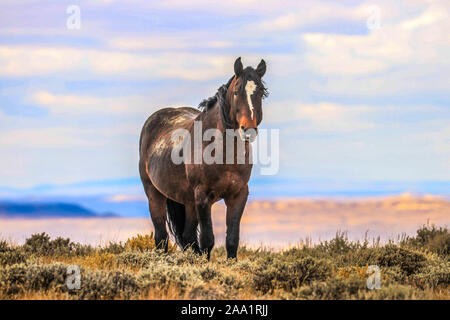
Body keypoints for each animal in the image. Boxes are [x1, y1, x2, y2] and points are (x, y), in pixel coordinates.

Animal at [139, 57, 268, 258]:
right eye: (236, 91)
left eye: (261, 92)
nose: (248, 130)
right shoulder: (202, 196)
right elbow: (207, 241)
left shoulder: (238, 195)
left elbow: (232, 240)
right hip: (155, 193)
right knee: (161, 237)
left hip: (188, 202)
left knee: (188, 236)